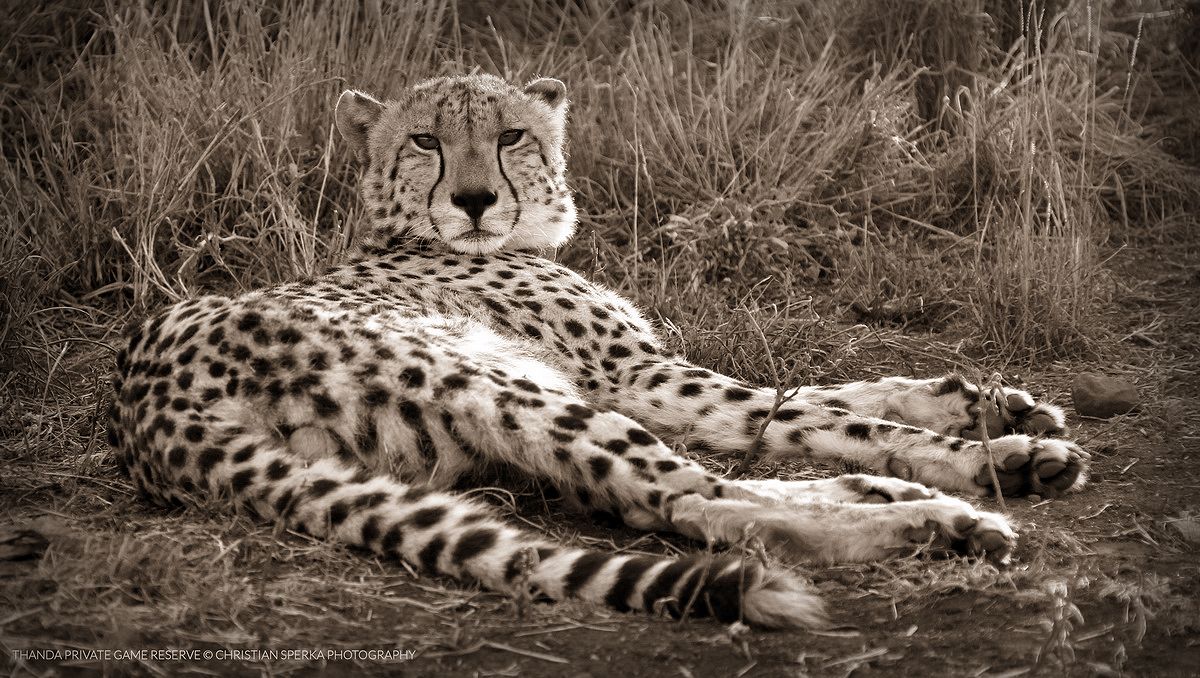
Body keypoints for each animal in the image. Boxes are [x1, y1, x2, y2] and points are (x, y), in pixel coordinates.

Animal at [108, 73, 1091, 629]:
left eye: (509, 135)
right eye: (424, 141)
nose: (473, 199)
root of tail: (142, 406)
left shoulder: (642, 374)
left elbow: (828, 396)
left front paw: (995, 408)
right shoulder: (633, 374)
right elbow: (804, 410)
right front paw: (993, 449)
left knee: (684, 493)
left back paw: (896, 496)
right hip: (499, 382)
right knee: (689, 500)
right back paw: (932, 518)